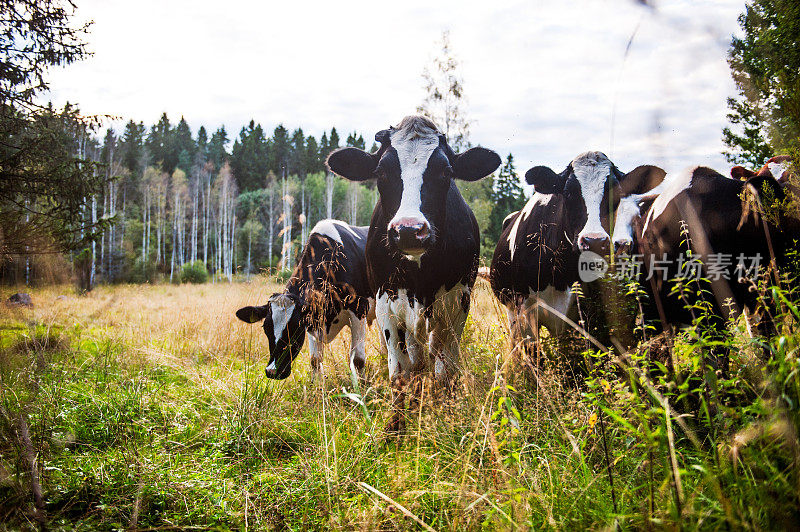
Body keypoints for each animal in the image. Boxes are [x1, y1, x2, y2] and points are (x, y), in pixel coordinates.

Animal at [234, 218, 376, 380]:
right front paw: (316, 384)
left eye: (295, 328)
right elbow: (315, 360)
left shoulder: (359, 310)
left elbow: (358, 359)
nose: (272, 371)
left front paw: (363, 384)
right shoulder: (313, 321)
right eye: (266, 328)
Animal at [326, 115, 500, 386]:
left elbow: (444, 369)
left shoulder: (458, 303)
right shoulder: (386, 303)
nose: (409, 230)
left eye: (445, 172)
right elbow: (400, 371)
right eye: (381, 172)